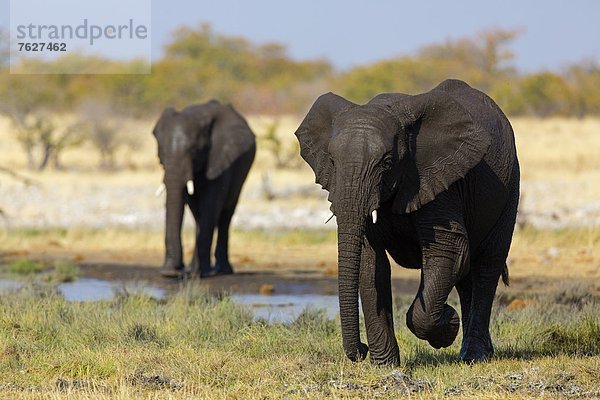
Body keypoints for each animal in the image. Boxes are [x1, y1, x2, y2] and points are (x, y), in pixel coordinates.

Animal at [152, 100, 255, 278]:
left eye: (194, 150)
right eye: (161, 152)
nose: (172, 271)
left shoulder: (220, 158)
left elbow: (211, 205)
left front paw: (200, 273)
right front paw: (178, 272)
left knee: (226, 214)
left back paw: (221, 270)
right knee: (198, 214)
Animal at [296, 79, 520, 366]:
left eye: (387, 163)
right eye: (332, 162)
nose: (361, 351)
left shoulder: (437, 180)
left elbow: (448, 250)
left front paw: (448, 325)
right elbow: (371, 262)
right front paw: (384, 366)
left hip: (509, 186)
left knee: (486, 265)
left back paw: (474, 355)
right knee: (468, 276)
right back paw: (473, 353)